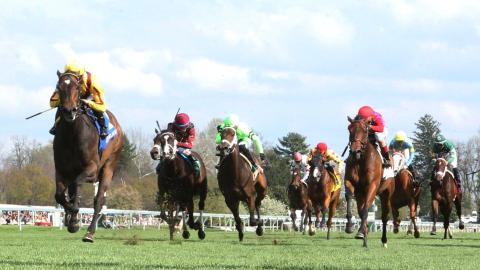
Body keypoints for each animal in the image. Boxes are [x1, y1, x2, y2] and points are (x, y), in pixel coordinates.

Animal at [52, 70, 124, 243]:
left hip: (109, 166)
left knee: (99, 201)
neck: (72, 135)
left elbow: (77, 185)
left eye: (77, 87)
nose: (69, 111)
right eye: (59, 87)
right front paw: (72, 220)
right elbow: (60, 195)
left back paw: (89, 233)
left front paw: (74, 216)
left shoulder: (91, 169)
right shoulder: (61, 170)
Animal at [344, 117, 394, 248]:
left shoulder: (372, 186)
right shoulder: (351, 183)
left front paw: (361, 231)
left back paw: (384, 240)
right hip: (361, 193)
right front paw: (351, 227)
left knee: (384, 216)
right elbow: (350, 198)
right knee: (361, 210)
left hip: (386, 193)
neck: (360, 159)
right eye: (349, 129)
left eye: (364, 130)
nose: (354, 150)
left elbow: (366, 208)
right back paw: (364, 239)